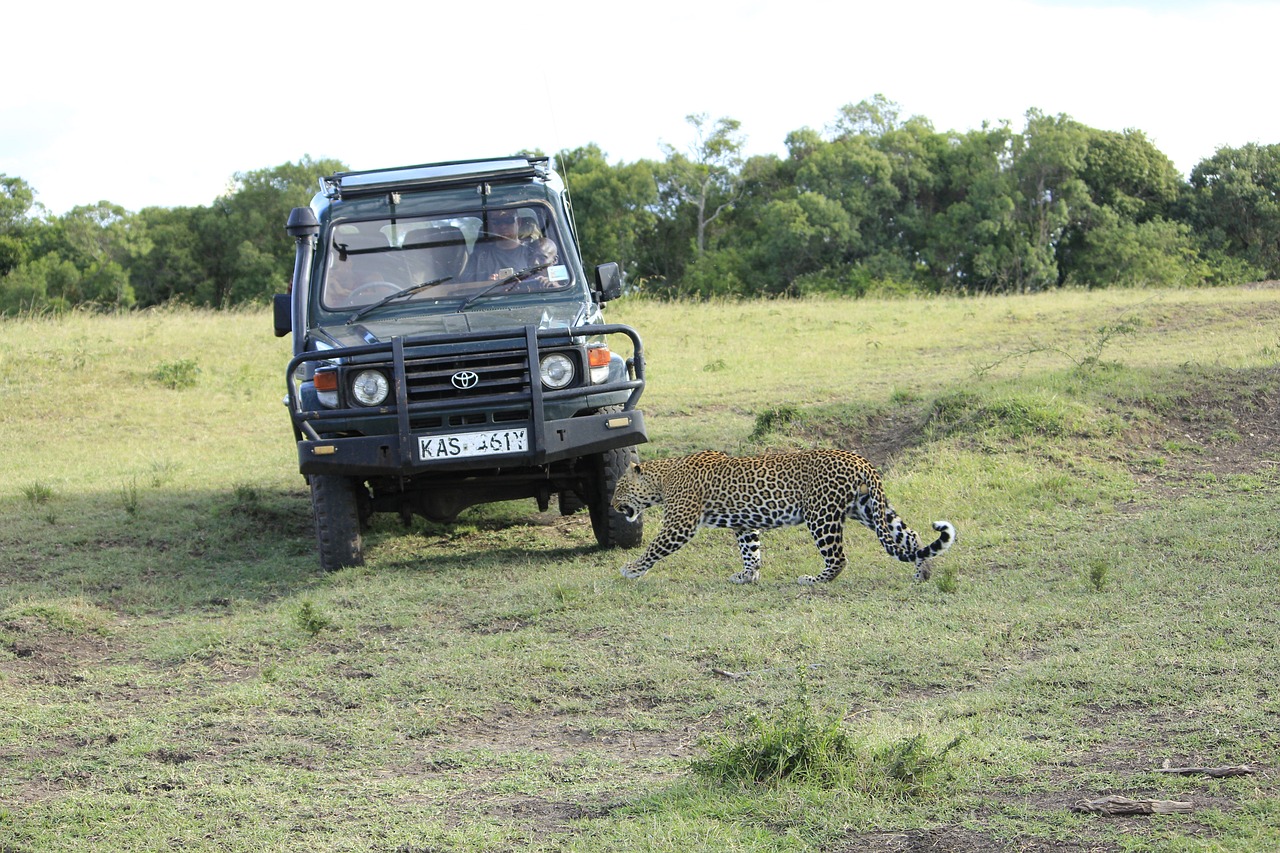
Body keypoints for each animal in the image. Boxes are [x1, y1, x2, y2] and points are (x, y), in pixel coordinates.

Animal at [614, 445, 957, 584]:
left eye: (619, 489)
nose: (613, 506)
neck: (663, 478)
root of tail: (859, 459)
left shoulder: (680, 524)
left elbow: (654, 548)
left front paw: (631, 569)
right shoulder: (744, 524)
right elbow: (750, 551)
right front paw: (748, 576)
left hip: (821, 514)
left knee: (838, 558)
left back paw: (813, 580)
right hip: (868, 507)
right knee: (910, 535)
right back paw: (922, 573)